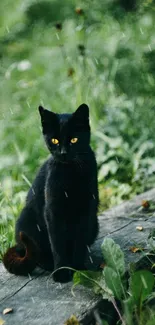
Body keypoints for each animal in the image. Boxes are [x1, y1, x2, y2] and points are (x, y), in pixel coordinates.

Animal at [2, 103, 98, 280]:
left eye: (74, 139)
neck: (70, 174)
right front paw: (61, 271)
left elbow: (80, 242)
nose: (63, 153)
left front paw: (79, 269)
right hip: (26, 220)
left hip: (95, 223)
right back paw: (48, 264)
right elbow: (57, 244)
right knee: (35, 254)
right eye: (54, 140)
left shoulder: (86, 210)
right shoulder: (53, 211)